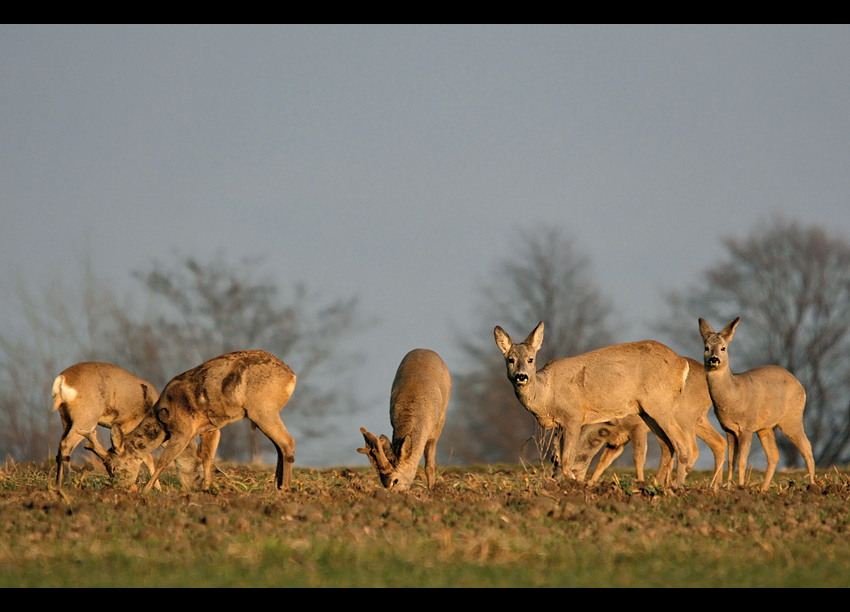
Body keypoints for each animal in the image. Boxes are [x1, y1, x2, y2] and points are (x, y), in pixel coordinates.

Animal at [80, 352, 298, 490]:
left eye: (114, 467)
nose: (119, 487)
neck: (161, 422)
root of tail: (291, 376)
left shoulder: (183, 428)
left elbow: (165, 460)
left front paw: (147, 489)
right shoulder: (211, 427)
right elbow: (207, 458)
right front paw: (207, 488)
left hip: (262, 408)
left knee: (287, 442)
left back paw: (285, 488)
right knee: (280, 445)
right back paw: (277, 486)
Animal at [356, 350, 450, 492]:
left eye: (396, 480)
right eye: (383, 482)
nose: (394, 493)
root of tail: (423, 349)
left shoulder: (434, 431)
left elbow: (430, 465)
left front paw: (432, 490)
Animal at [496, 320, 696, 488]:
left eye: (530, 359)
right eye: (510, 360)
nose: (521, 376)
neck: (546, 396)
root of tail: (682, 363)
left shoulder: (574, 415)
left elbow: (568, 457)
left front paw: (568, 484)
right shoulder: (560, 424)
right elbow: (558, 457)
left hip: (659, 403)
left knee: (682, 442)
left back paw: (676, 486)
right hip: (647, 411)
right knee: (668, 445)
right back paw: (657, 485)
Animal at [568, 356, 724, 490]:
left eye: (592, 442)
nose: (574, 471)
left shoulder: (638, 427)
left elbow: (638, 457)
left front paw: (640, 481)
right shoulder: (618, 440)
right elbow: (604, 460)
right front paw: (592, 482)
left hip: (684, 417)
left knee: (691, 448)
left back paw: (673, 482)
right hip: (698, 419)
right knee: (719, 442)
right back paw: (715, 485)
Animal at [696, 316, 816, 492]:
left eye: (723, 348)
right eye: (707, 348)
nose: (714, 359)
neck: (734, 395)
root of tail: (800, 385)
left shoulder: (747, 426)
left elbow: (742, 460)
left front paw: (740, 486)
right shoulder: (728, 429)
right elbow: (731, 461)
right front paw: (729, 487)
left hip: (792, 417)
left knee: (806, 446)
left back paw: (812, 485)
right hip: (766, 427)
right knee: (774, 455)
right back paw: (763, 489)